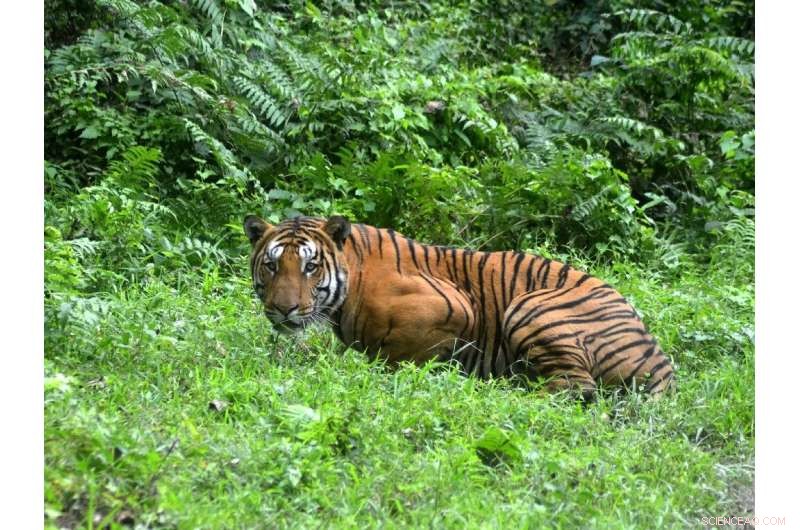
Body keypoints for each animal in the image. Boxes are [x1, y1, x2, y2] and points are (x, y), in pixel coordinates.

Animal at [244, 214, 674, 400]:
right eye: (272, 265)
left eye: (310, 266)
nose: (284, 309)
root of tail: (660, 362)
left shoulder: (454, 306)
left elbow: (399, 355)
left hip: (530, 306)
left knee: (575, 388)